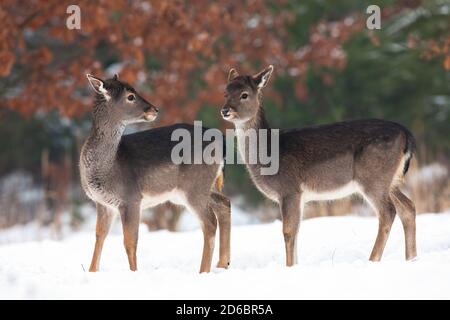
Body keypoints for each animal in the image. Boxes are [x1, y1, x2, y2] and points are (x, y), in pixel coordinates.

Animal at [78, 74, 230, 272]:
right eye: (130, 96)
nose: (154, 109)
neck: (109, 167)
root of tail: (222, 141)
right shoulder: (103, 203)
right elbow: (99, 237)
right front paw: (92, 271)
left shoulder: (131, 198)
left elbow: (130, 242)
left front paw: (134, 272)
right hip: (196, 188)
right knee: (224, 203)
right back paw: (223, 263)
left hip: (194, 186)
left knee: (210, 222)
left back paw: (204, 271)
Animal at [221, 64, 418, 264]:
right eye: (225, 92)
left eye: (244, 94)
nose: (225, 110)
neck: (269, 154)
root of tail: (406, 134)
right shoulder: (298, 196)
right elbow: (297, 232)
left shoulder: (289, 190)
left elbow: (288, 232)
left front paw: (290, 266)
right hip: (390, 180)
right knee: (408, 207)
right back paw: (411, 259)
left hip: (373, 177)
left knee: (388, 212)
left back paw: (373, 260)